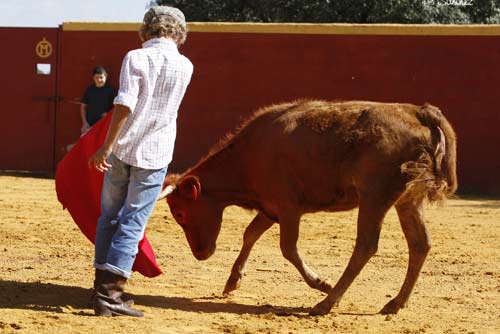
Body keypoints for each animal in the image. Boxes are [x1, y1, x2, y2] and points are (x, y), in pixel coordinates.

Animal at [161, 100, 458, 316]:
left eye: (180, 214)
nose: (201, 254)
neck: (247, 157)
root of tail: (418, 112)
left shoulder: (288, 208)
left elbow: (287, 248)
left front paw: (320, 283)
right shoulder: (270, 208)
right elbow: (250, 234)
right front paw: (233, 281)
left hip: (374, 198)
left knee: (366, 246)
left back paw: (327, 302)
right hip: (408, 201)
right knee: (419, 245)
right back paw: (395, 304)